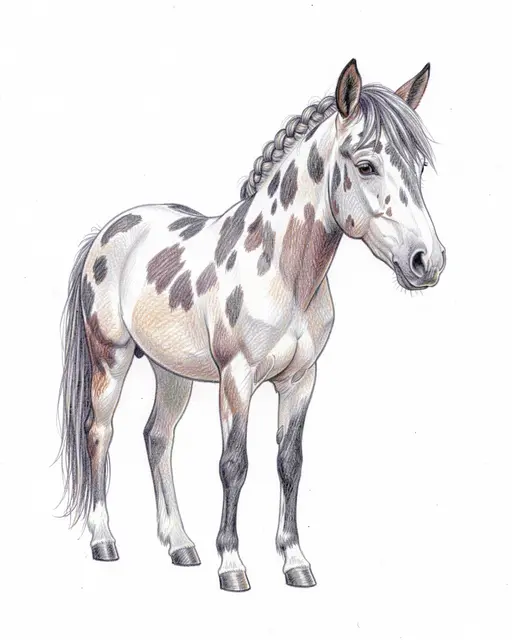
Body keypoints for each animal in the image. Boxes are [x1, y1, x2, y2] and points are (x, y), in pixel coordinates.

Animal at [58, 59, 446, 591]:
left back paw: (180, 545)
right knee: (99, 432)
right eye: (366, 165)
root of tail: (109, 231)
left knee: (158, 438)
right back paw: (104, 540)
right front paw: (232, 564)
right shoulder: (236, 378)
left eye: (419, 167)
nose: (427, 261)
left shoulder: (301, 380)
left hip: (171, 372)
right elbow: (234, 463)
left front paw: (295, 561)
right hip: (110, 361)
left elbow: (290, 463)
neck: (282, 268)